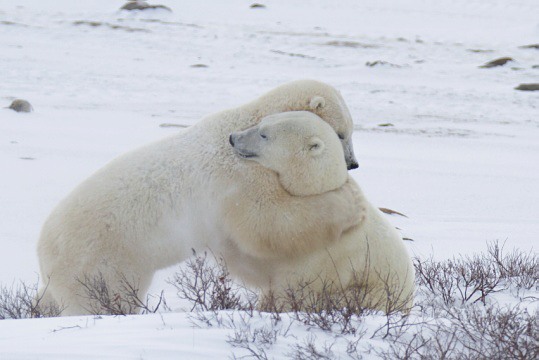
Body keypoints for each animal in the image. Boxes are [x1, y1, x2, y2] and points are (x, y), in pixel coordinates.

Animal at [37, 79, 362, 316]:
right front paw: (351, 203)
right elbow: (268, 220)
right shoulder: (238, 175)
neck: (243, 123)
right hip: (101, 260)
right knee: (100, 298)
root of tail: (44, 250)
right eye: (342, 133)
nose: (353, 164)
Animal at [230, 111, 416, 314]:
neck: (318, 190)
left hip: (376, 294)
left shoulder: (323, 252)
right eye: (260, 123)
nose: (233, 138)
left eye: (264, 134)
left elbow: (294, 284)